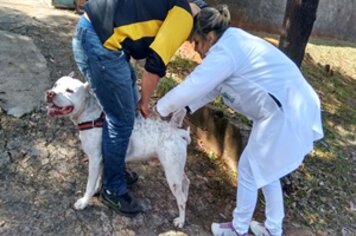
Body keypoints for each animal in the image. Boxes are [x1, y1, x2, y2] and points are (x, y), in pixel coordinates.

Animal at [45, 74, 191, 228]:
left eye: (69, 91)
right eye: (55, 85)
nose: (50, 93)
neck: (91, 117)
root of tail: (178, 132)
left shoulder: (94, 160)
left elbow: (90, 184)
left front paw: (84, 202)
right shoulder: (101, 160)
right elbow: (98, 179)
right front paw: (97, 189)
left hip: (172, 174)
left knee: (180, 198)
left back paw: (181, 220)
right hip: (176, 169)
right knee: (186, 182)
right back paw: (186, 197)